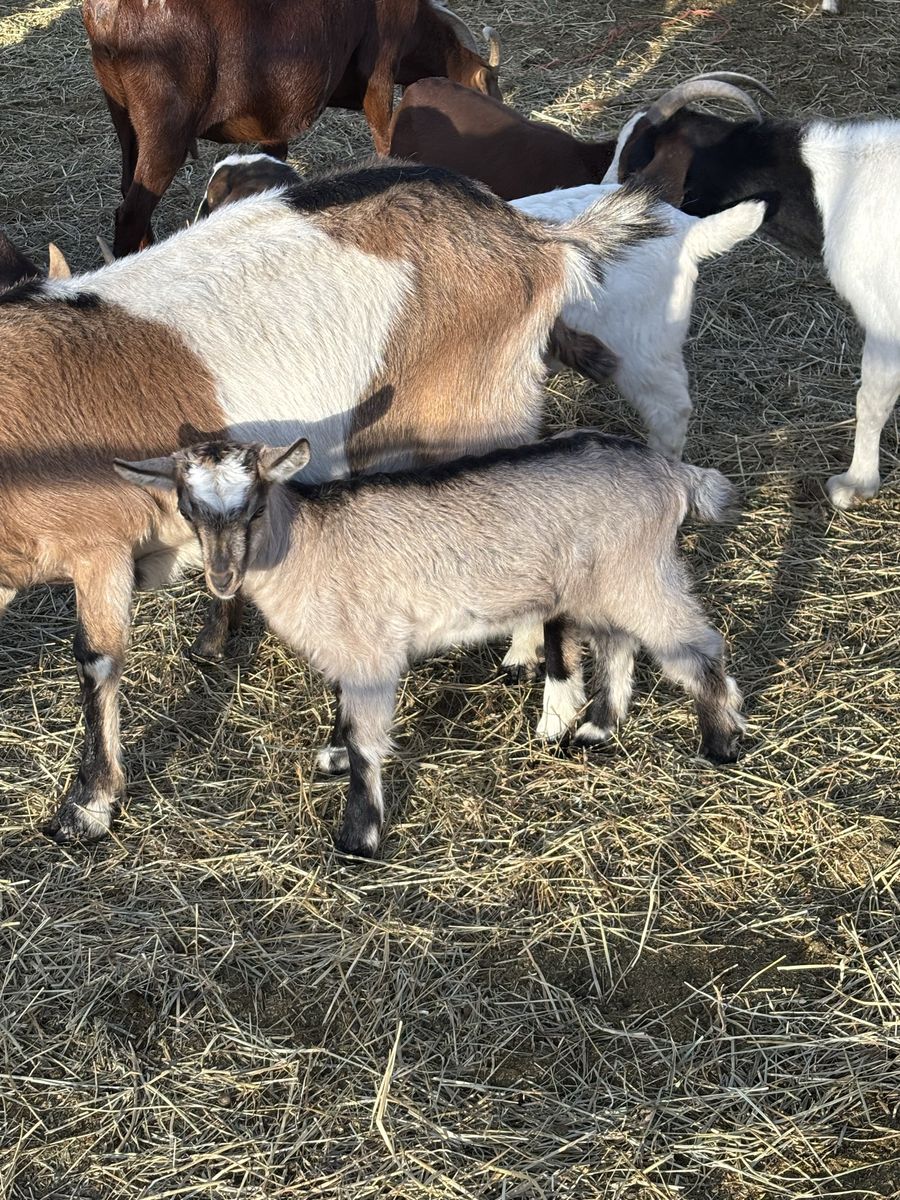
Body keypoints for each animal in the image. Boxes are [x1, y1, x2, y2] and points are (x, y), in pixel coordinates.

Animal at [0, 160, 663, 844]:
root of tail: (533, 238)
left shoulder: (98, 547)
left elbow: (97, 660)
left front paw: (89, 802)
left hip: (482, 416)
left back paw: (549, 697)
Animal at [82, 0, 502, 256]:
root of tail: (106, 15)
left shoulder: (273, 120)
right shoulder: (380, 74)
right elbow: (385, 139)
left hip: (126, 119)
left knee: (132, 195)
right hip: (165, 131)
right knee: (132, 211)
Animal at [115, 431, 745, 857]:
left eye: (254, 506)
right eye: (188, 509)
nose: (222, 579)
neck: (308, 541)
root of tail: (674, 473)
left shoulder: (370, 651)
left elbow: (366, 742)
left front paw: (358, 837)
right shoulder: (350, 653)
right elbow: (344, 715)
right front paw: (332, 755)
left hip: (639, 573)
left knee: (696, 646)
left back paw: (720, 741)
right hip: (600, 585)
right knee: (618, 645)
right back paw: (596, 730)